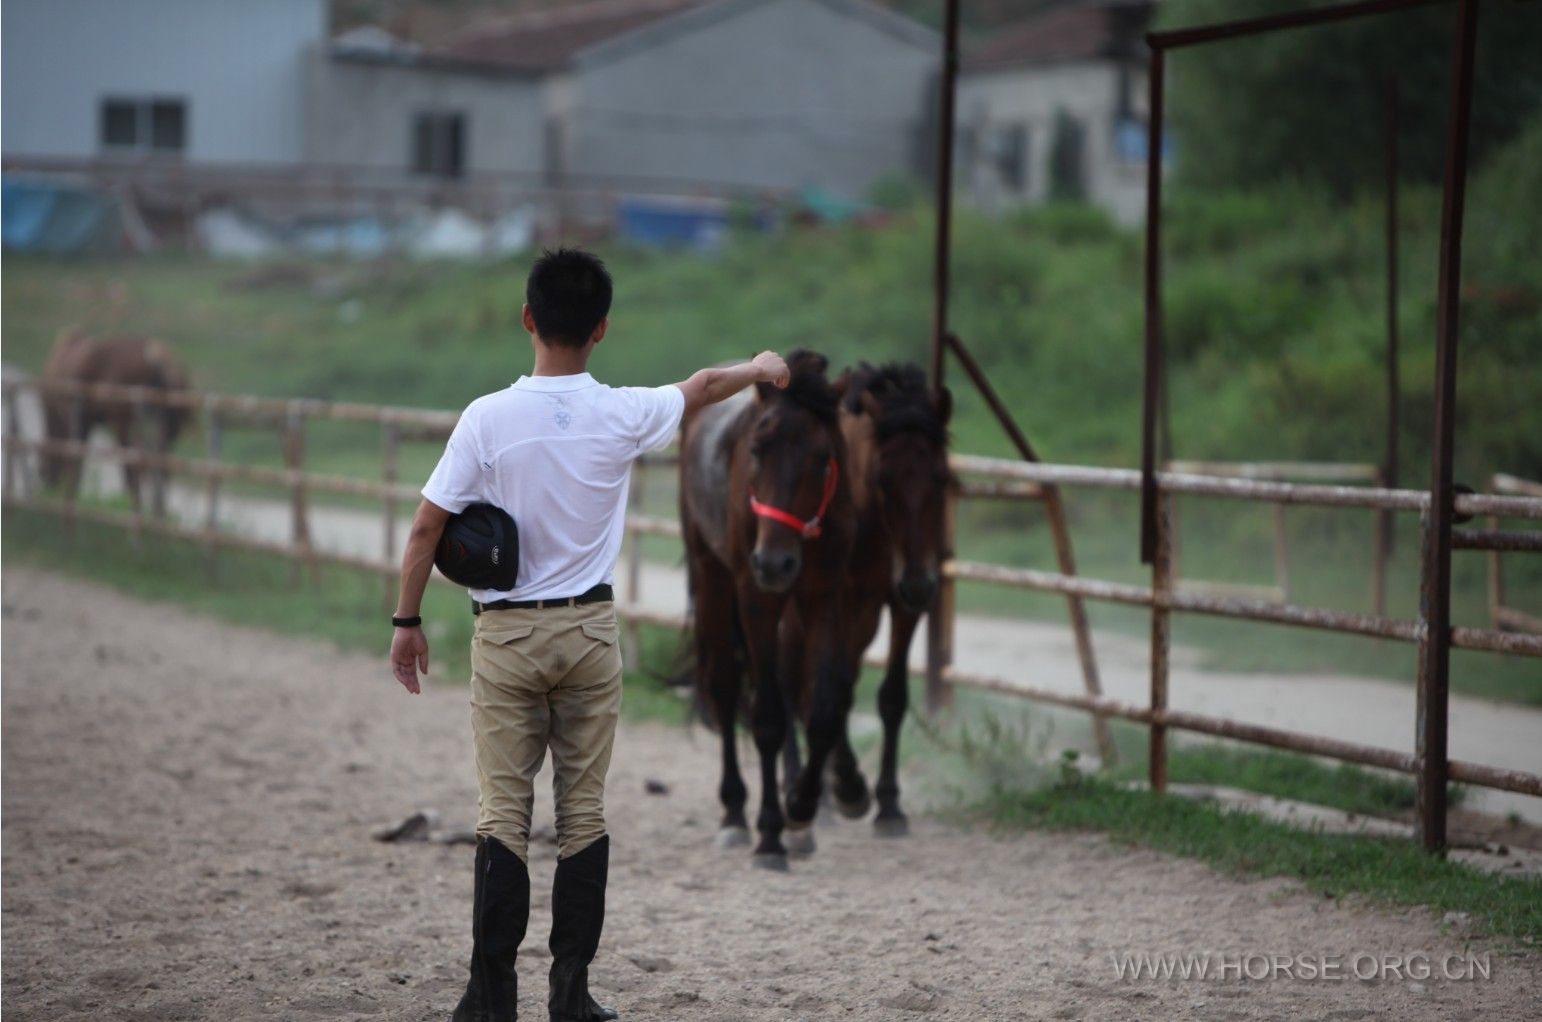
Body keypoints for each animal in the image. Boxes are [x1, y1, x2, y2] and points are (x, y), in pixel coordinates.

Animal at [41, 329, 192, 514]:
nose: (47, 483)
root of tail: (156, 356)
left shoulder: (82, 420)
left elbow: (77, 459)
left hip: (125, 423)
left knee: (135, 466)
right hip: (161, 427)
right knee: (158, 464)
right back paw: (157, 511)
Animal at [684, 351, 863, 869]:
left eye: (823, 458)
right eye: (757, 450)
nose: (774, 563)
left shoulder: (825, 595)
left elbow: (822, 707)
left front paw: (801, 809)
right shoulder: (756, 597)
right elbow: (766, 719)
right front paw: (769, 832)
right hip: (713, 578)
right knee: (726, 690)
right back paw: (734, 814)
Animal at [783, 363, 949, 838]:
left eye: (942, 477)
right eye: (884, 479)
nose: (919, 582)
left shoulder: (898, 606)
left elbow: (890, 697)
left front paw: (889, 805)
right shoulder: (830, 605)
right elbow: (829, 689)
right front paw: (849, 788)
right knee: (792, 686)